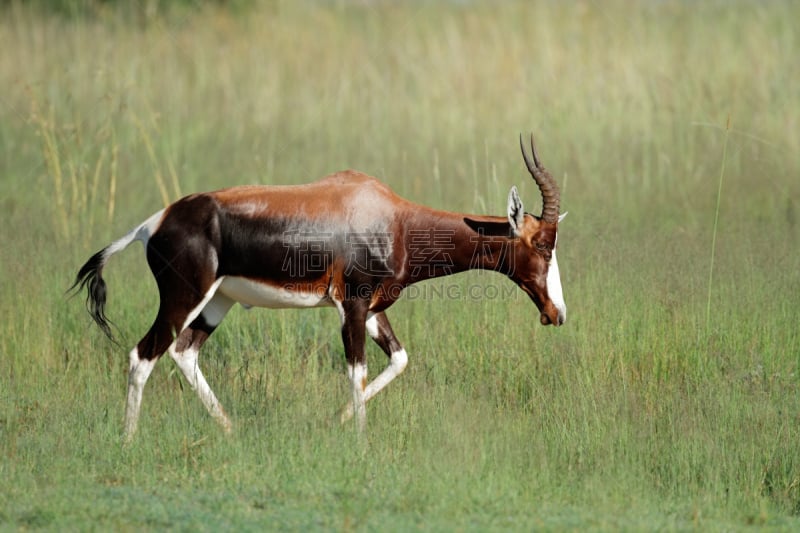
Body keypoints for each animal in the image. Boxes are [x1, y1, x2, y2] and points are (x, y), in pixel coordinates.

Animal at [72, 135, 564, 438]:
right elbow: (356, 370)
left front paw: (336, 422)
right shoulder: (353, 306)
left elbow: (399, 360)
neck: (392, 216)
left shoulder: (373, 309)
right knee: (142, 356)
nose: (556, 313)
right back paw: (129, 441)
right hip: (184, 297)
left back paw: (231, 430)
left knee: (184, 352)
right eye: (542, 243)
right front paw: (361, 445)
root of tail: (153, 223)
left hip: (218, 302)